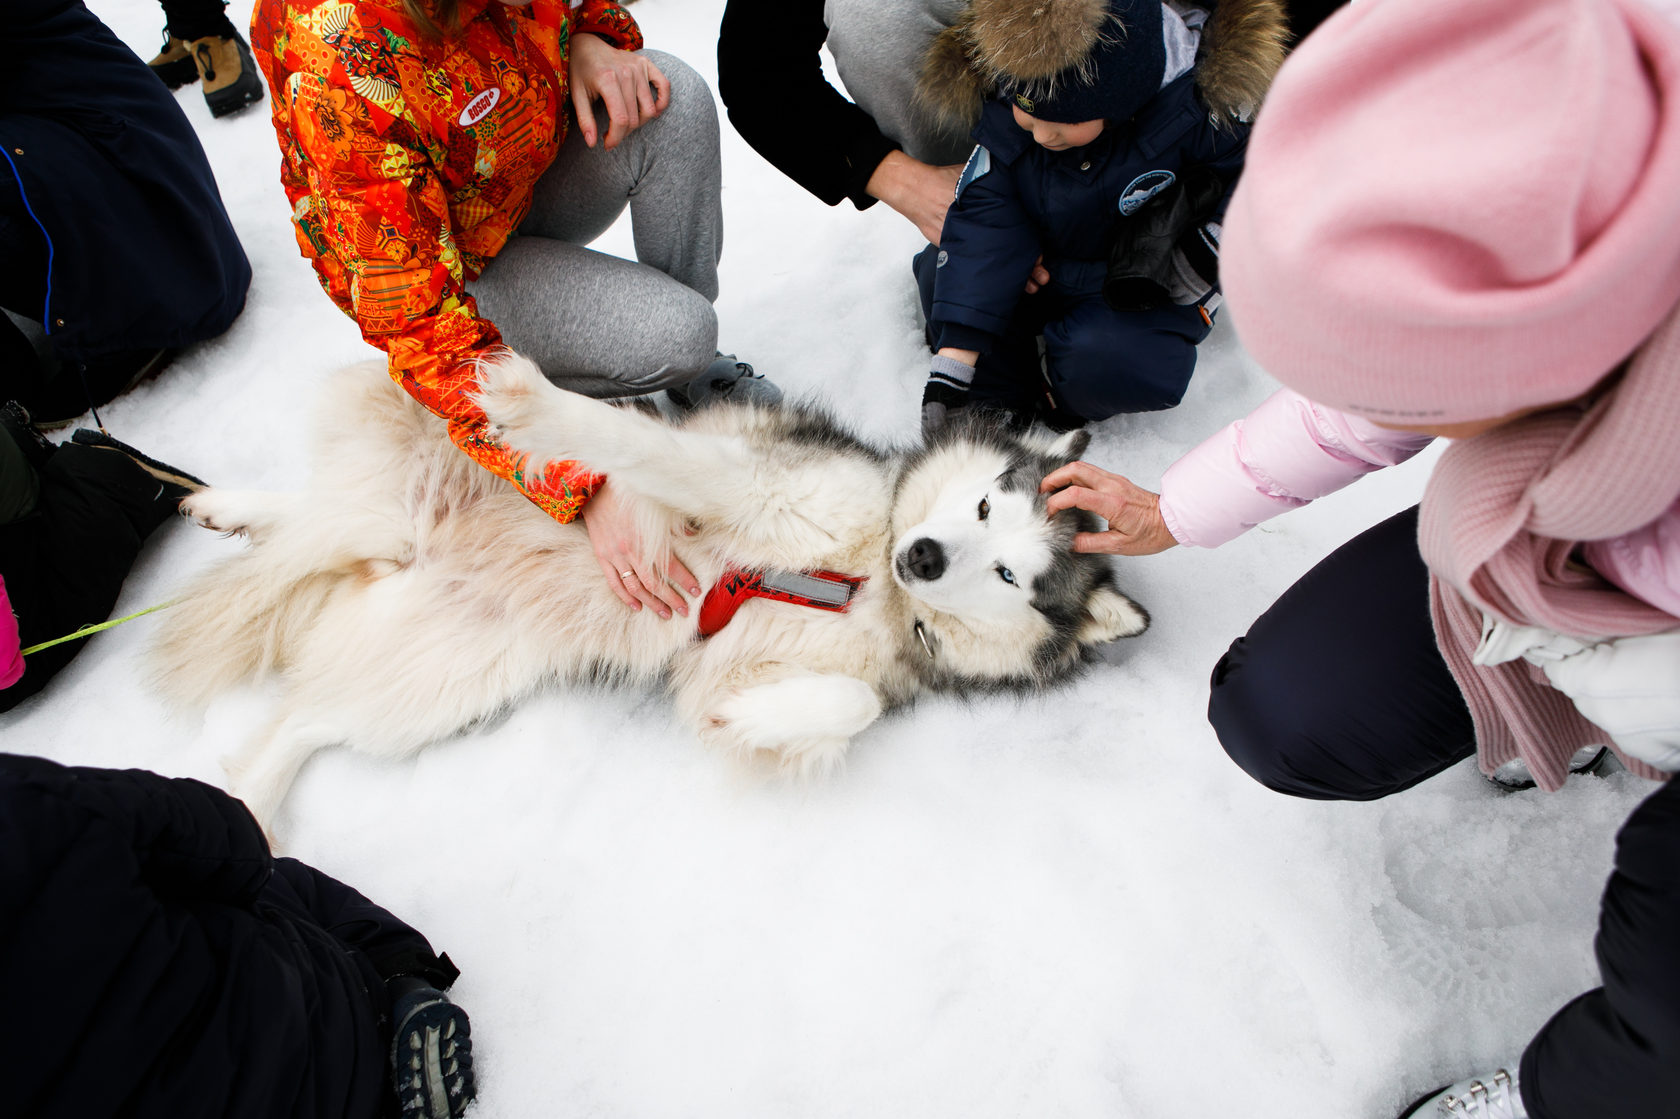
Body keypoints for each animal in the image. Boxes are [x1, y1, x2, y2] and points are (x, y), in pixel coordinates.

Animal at [151, 354, 1149, 819]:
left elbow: (844, 703)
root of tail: (412, 542)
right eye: (982, 504)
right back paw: (237, 505)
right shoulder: (742, 483)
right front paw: (536, 399)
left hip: (442, 676)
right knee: (323, 508)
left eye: (1013, 572)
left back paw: (248, 808)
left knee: (307, 719)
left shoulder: (741, 664)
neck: (864, 569)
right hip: (424, 457)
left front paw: (754, 720)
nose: (931, 558)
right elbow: (627, 441)